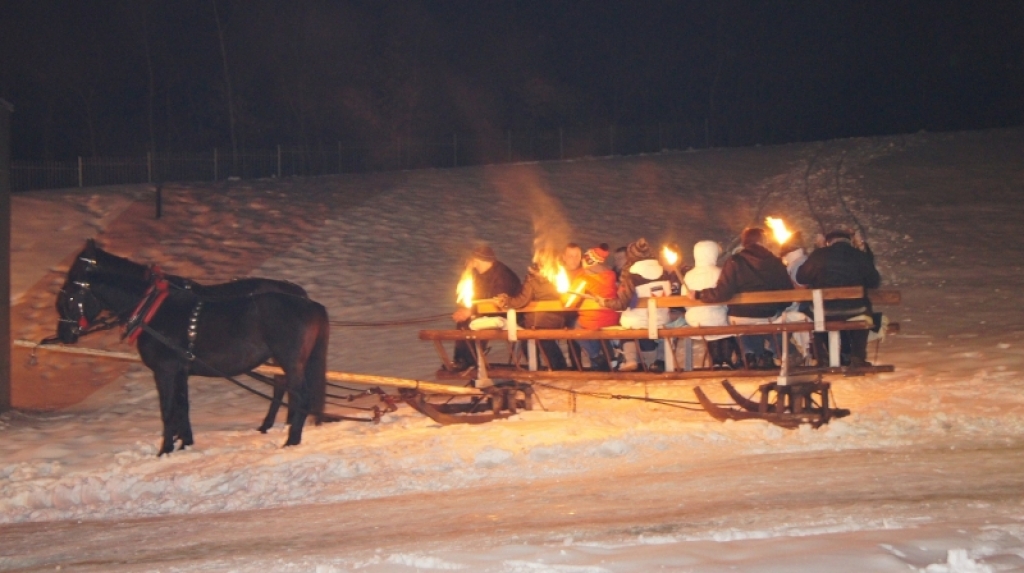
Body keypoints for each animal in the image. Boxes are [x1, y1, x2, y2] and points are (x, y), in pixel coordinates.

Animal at [54, 243, 329, 454]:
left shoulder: (165, 370)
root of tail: (310, 303)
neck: (153, 308)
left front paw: (165, 451)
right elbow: (182, 406)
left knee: (299, 395)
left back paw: (292, 440)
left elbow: (168, 409)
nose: (64, 335)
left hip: (290, 360)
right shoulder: (180, 370)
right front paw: (184, 443)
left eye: (69, 296)